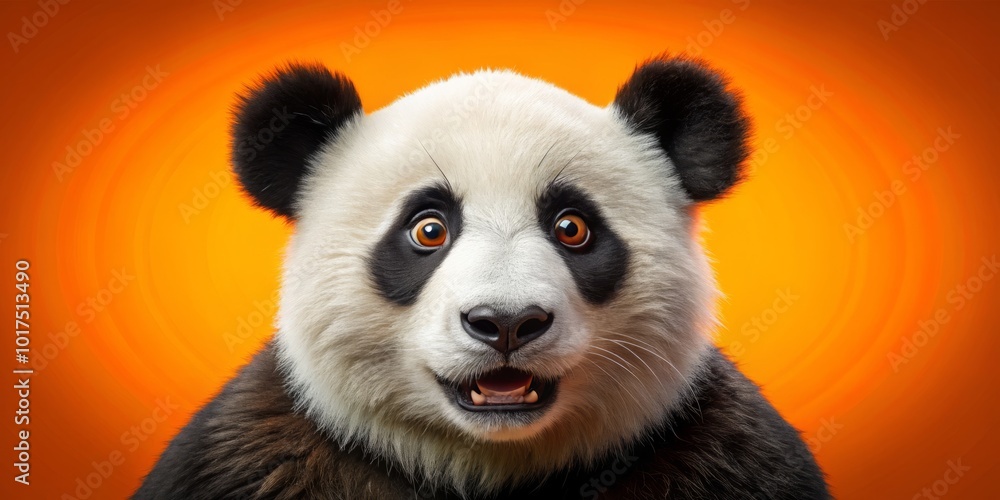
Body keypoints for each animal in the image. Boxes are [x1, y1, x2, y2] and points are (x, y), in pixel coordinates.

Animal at [136, 55, 829, 499]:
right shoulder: (250, 464)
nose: (506, 322)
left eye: (572, 227)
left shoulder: (727, 461)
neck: (486, 461)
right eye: (428, 229)